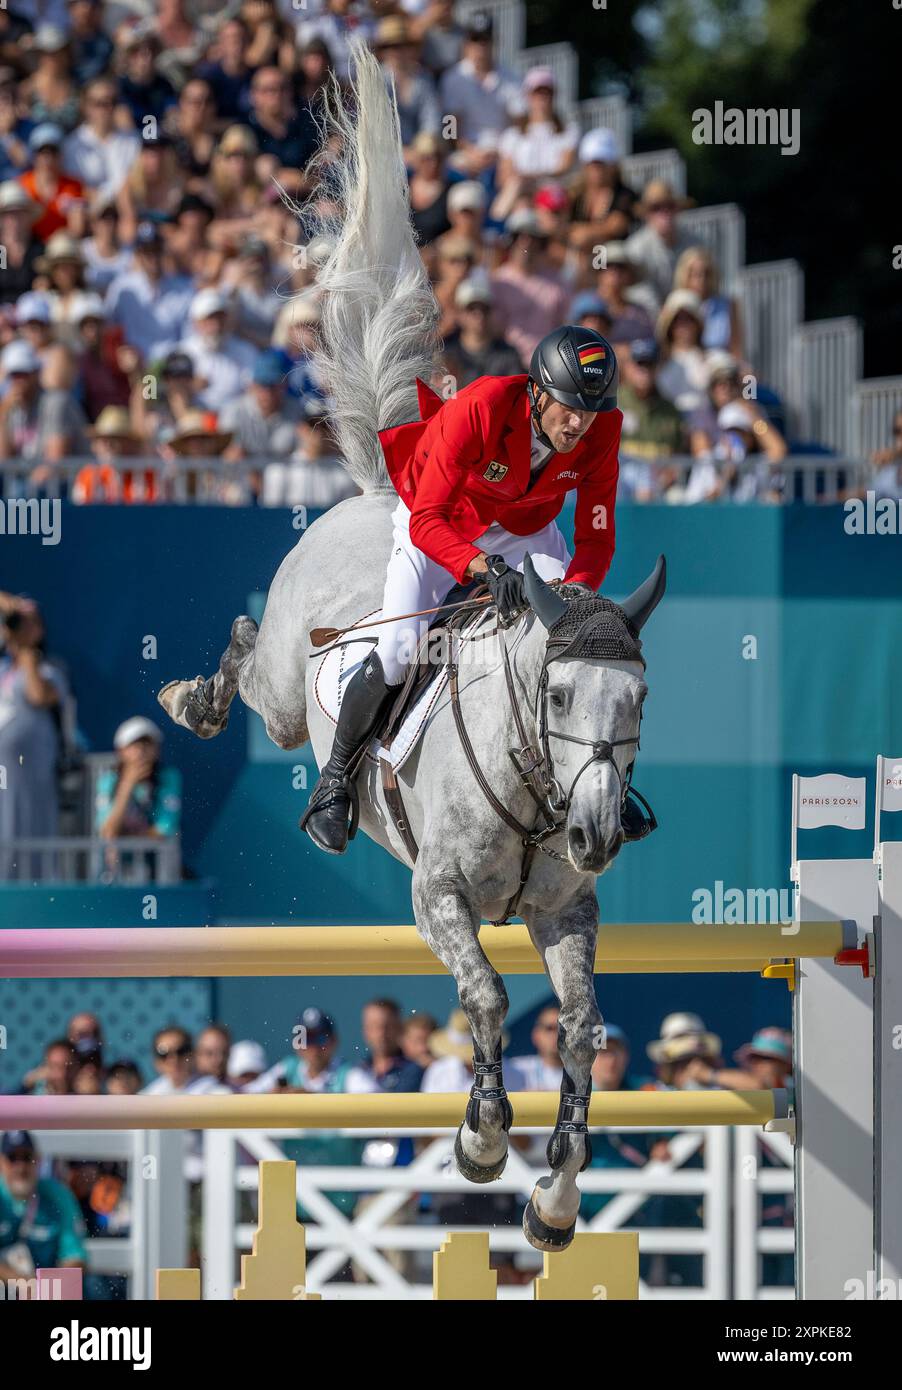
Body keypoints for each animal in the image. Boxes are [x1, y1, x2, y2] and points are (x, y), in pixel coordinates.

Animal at [158, 43, 661, 1251]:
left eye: (637, 702)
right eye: (557, 697)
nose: (595, 830)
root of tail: (377, 490)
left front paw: (555, 1197)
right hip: (295, 684)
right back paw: (196, 695)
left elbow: (581, 1027)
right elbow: (485, 999)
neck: (533, 788)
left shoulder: (567, 911)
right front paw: (480, 1142)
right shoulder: (437, 900)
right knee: (255, 672)